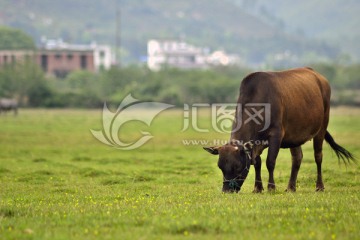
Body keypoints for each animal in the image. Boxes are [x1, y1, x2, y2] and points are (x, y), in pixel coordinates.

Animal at [205, 67, 354, 193]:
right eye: (220, 167)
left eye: (237, 166)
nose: (227, 191)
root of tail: (319, 76)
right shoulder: (256, 143)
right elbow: (257, 163)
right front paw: (257, 188)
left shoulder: (276, 135)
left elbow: (270, 162)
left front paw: (271, 187)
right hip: (295, 136)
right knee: (297, 158)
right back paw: (291, 187)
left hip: (321, 128)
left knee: (318, 156)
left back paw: (319, 186)